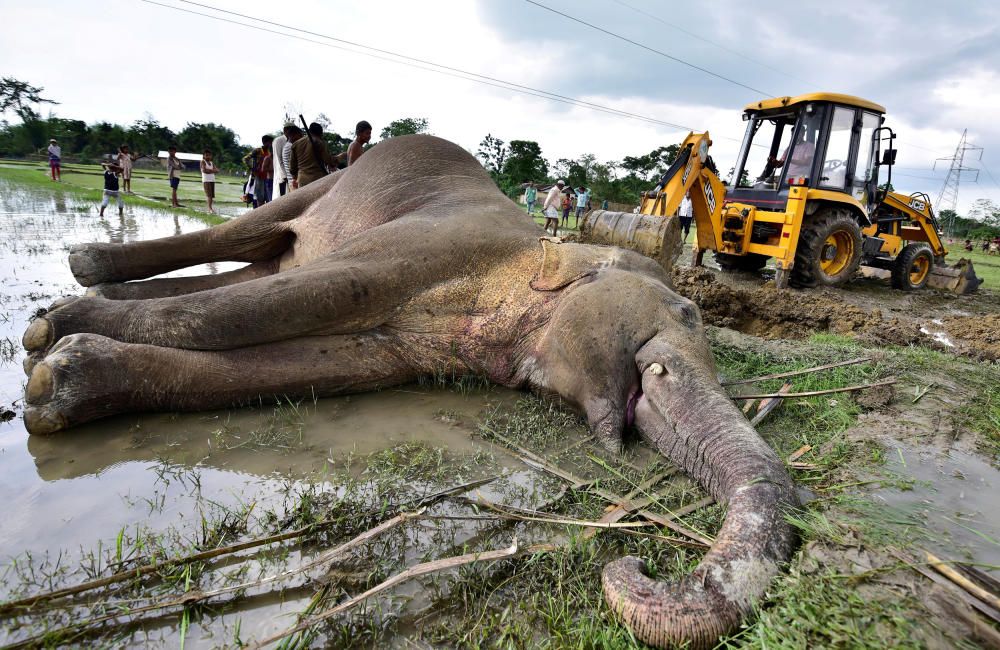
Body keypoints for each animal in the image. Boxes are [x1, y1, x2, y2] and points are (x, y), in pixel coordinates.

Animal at [23, 134, 796, 644]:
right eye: (689, 313)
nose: (630, 560)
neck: (539, 254)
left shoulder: (416, 347)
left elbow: (324, 360)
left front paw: (58, 382)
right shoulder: (431, 242)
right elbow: (307, 297)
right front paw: (48, 341)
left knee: (260, 266)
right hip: (330, 179)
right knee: (252, 240)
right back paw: (80, 275)